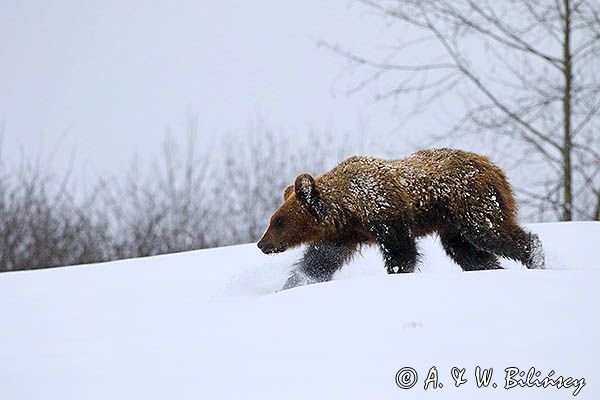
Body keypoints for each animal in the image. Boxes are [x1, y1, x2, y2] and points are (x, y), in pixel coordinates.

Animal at [258, 148, 544, 290]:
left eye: (279, 222)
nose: (262, 244)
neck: (350, 209)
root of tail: (494, 167)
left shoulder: (386, 214)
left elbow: (401, 252)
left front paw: (397, 274)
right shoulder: (344, 234)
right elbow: (319, 260)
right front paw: (292, 284)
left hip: (471, 202)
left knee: (489, 232)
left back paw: (535, 255)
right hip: (452, 224)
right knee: (467, 251)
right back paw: (491, 269)